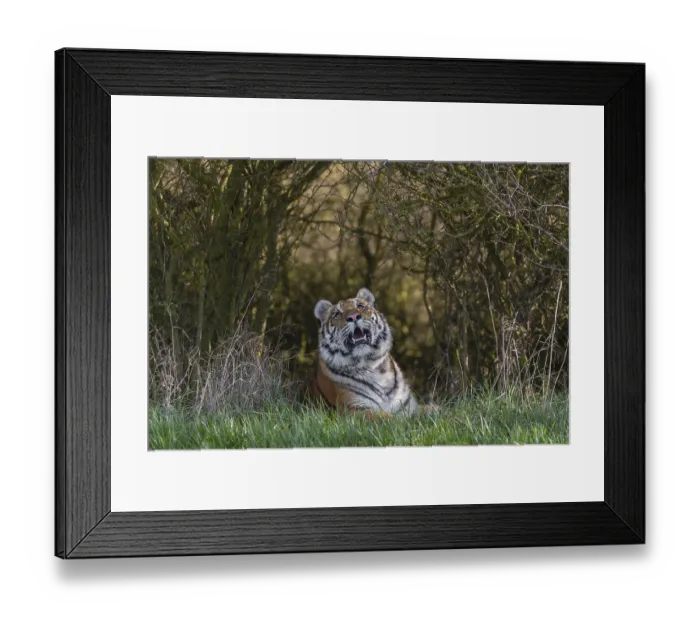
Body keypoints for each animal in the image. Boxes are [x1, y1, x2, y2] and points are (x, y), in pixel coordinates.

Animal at [308, 287, 418, 417]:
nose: (354, 316)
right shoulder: (355, 409)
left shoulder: (409, 407)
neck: (372, 366)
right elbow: (392, 419)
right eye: (337, 314)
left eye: (360, 306)